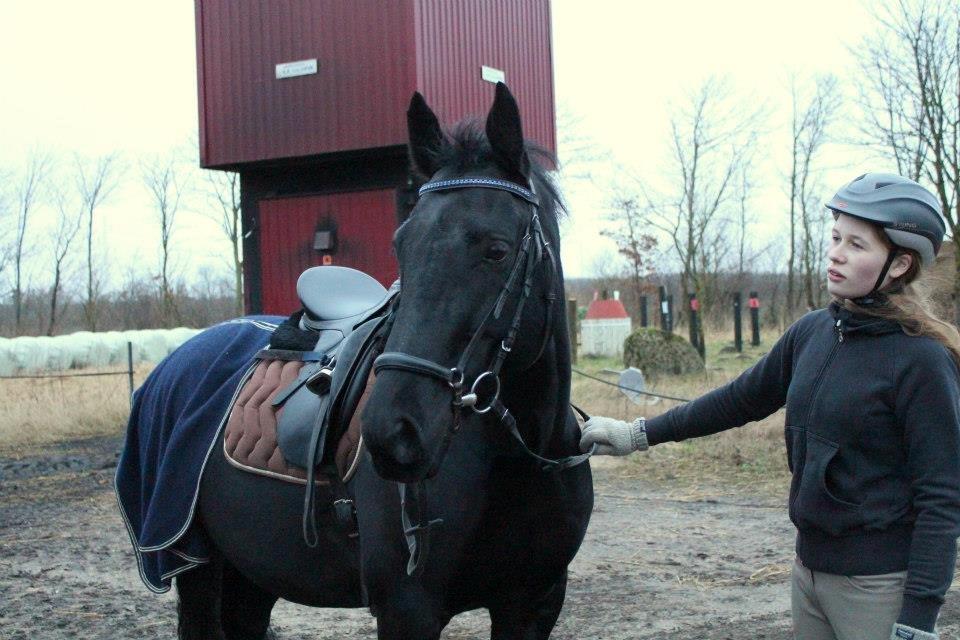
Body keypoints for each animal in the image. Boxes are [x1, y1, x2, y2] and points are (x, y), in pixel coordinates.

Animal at [174, 86, 592, 640]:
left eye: (497, 250)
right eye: (402, 245)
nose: (394, 432)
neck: (521, 455)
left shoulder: (534, 603)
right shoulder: (406, 609)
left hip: (252, 575)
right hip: (194, 566)